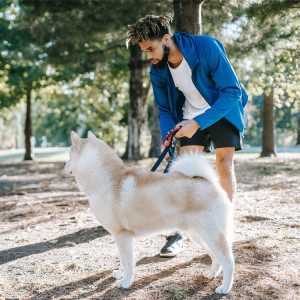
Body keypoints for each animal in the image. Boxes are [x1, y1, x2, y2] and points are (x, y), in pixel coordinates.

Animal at [65, 131, 234, 292]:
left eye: (69, 155)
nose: (65, 165)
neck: (107, 180)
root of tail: (210, 182)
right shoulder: (121, 238)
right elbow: (122, 261)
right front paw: (119, 274)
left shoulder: (122, 236)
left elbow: (128, 263)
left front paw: (125, 282)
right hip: (199, 235)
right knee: (216, 258)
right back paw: (212, 274)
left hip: (211, 234)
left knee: (228, 261)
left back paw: (225, 288)